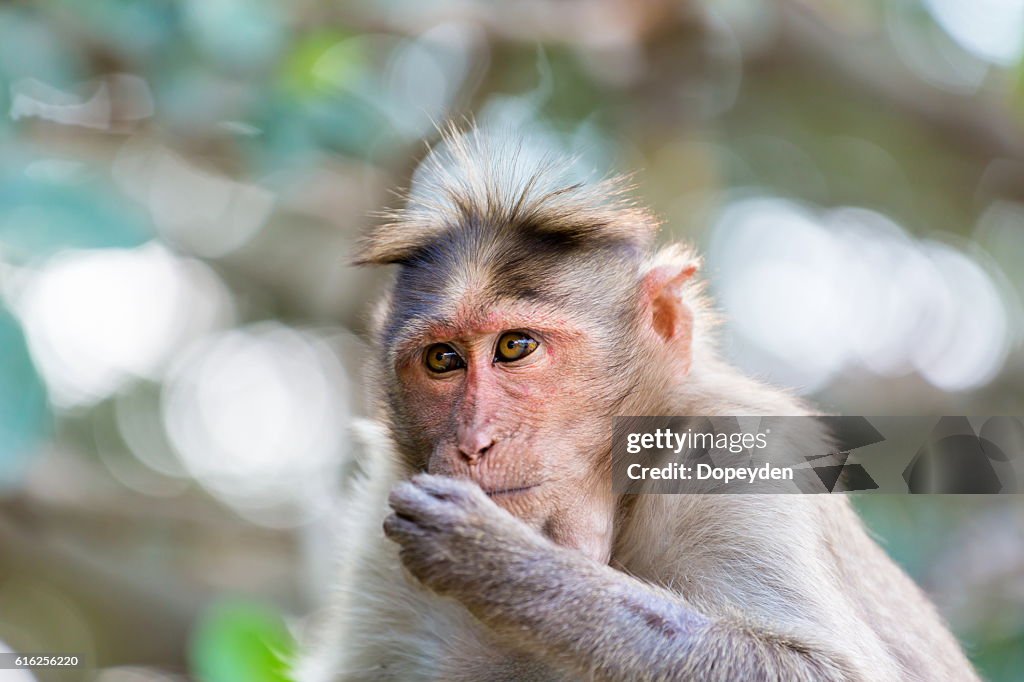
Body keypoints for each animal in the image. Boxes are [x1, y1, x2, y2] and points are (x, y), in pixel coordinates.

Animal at [294, 129, 974, 679]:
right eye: (442, 360)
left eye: (515, 347)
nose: (472, 441)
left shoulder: (735, 455)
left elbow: (819, 667)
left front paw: (504, 564)